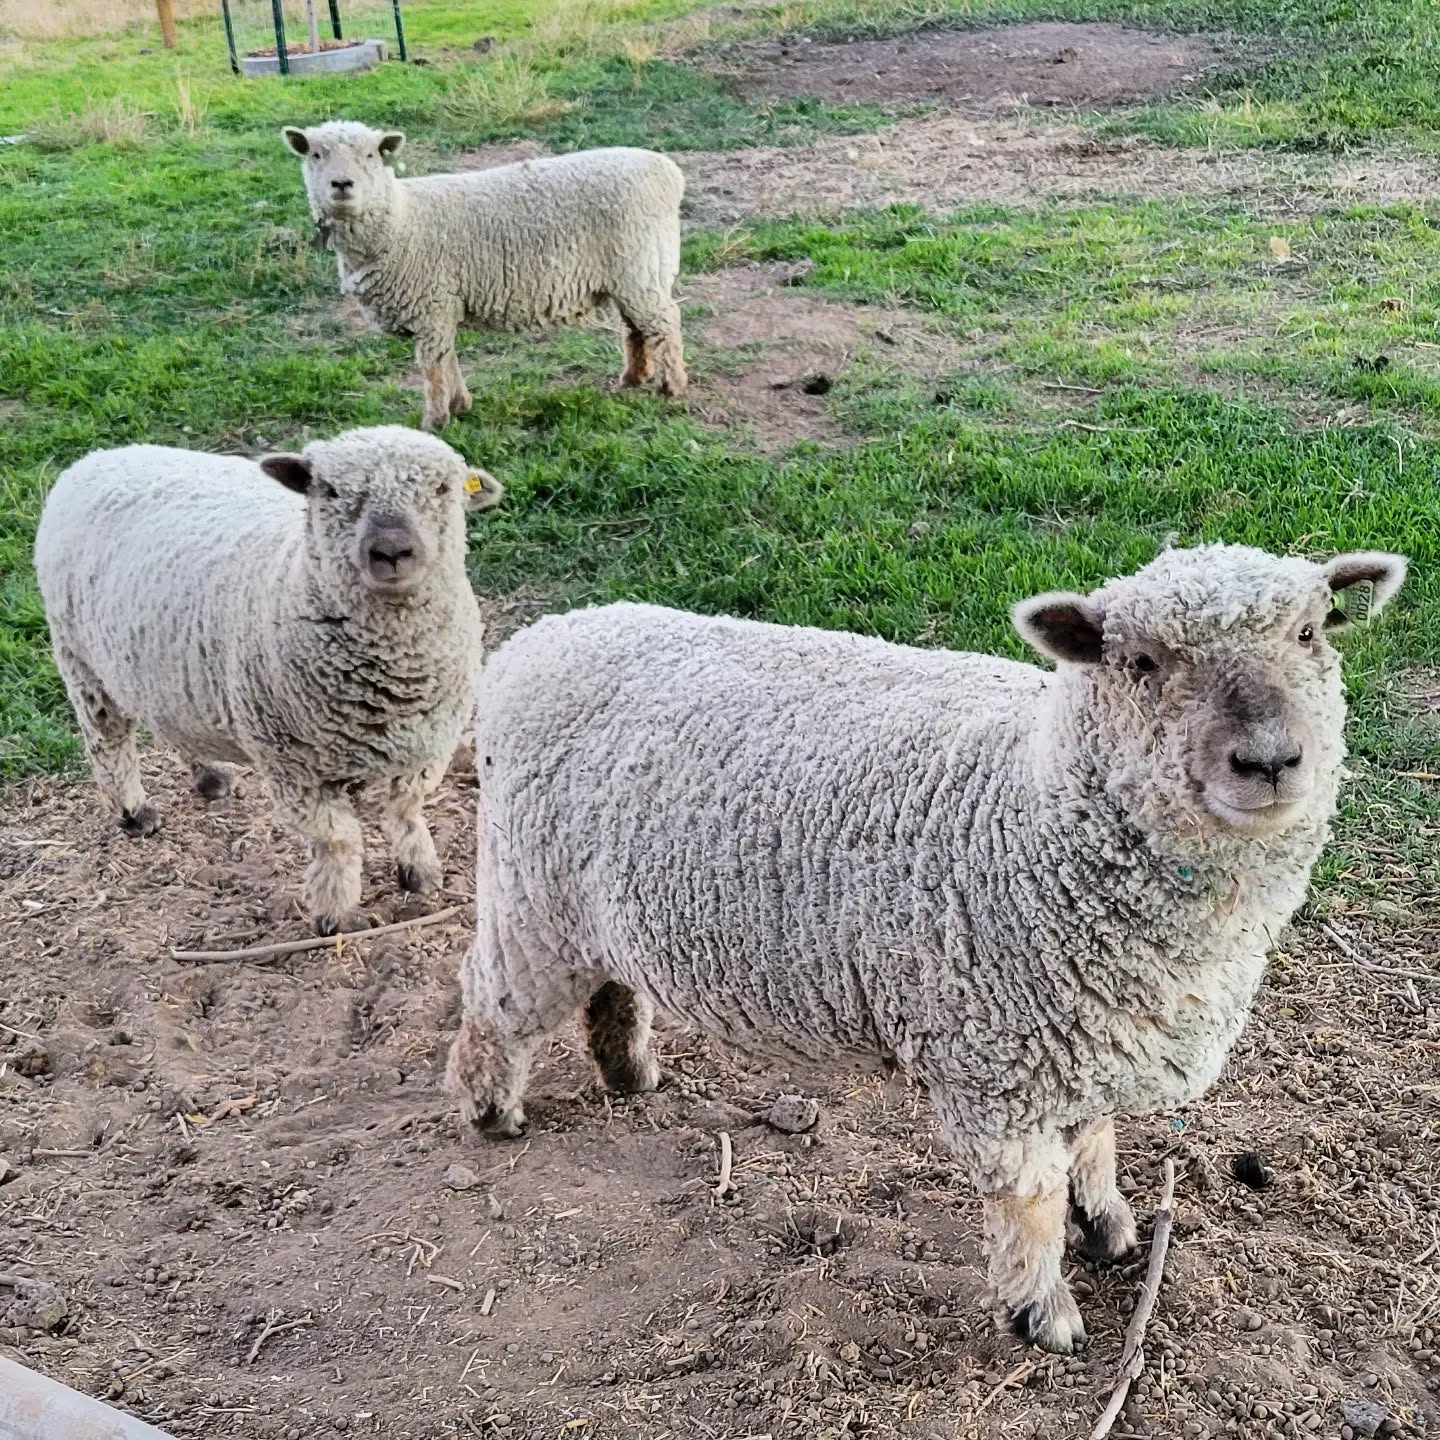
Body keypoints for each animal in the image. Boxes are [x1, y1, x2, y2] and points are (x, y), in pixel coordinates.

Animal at [34, 425, 504, 937]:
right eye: (330, 491)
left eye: (442, 488)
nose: (392, 551)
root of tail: (96, 458)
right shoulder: (294, 766)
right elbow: (338, 840)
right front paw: (337, 915)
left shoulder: (427, 746)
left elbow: (406, 812)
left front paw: (421, 872)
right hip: (80, 658)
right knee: (107, 740)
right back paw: (134, 812)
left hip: (165, 669)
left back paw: (211, 775)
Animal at [280, 121, 687, 430]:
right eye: (315, 155)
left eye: (370, 155)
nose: (342, 184)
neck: (399, 220)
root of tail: (668, 172)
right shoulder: (443, 304)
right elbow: (448, 356)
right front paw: (459, 404)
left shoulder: (430, 302)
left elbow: (432, 366)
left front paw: (435, 421)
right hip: (630, 274)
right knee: (636, 327)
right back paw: (634, 377)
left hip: (642, 267)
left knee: (666, 322)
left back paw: (672, 386)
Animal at [445, 542, 1407, 1352]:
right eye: (1141, 663)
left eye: (1313, 631)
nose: (1269, 760)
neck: (1038, 804)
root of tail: (541, 637)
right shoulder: (1000, 1062)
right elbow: (1028, 1199)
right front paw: (1042, 1309)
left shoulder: (1087, 1028)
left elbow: (1093, 1142)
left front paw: (1108, 1226)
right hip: (528, 899)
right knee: (492, 1004)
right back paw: (493, 1110)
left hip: (591, 912)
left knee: (610, 986)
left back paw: (628, 1071)